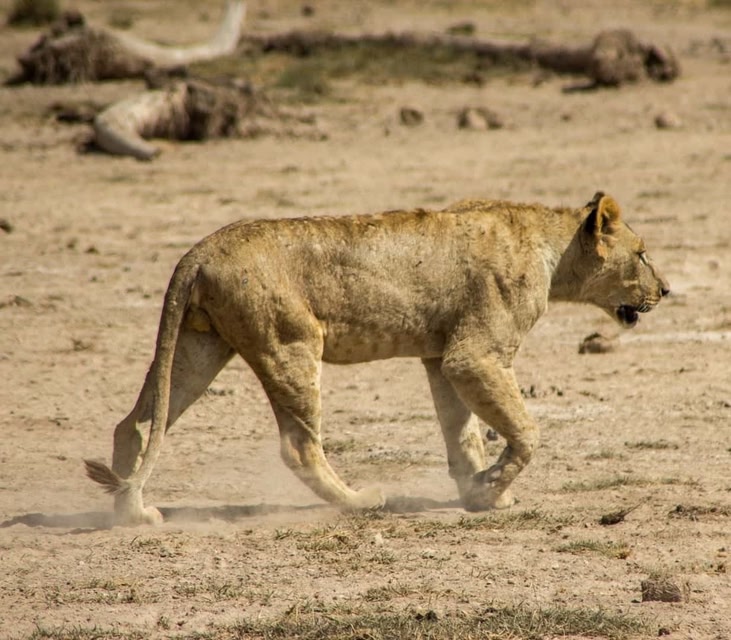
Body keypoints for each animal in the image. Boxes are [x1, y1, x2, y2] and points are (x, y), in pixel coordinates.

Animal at [85, 192, 669, 526]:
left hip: (198, 350)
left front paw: (479, 494)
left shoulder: (441, 357)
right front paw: (492, 488)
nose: (665, 289)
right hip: (290, 346)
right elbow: (525, 432)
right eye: (642, 254)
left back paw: (130, 512)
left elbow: (463, 433)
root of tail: (197, 252)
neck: (551, 248)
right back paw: (362, 501)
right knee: (299, 447)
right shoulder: (474, 354)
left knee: (136, 421)